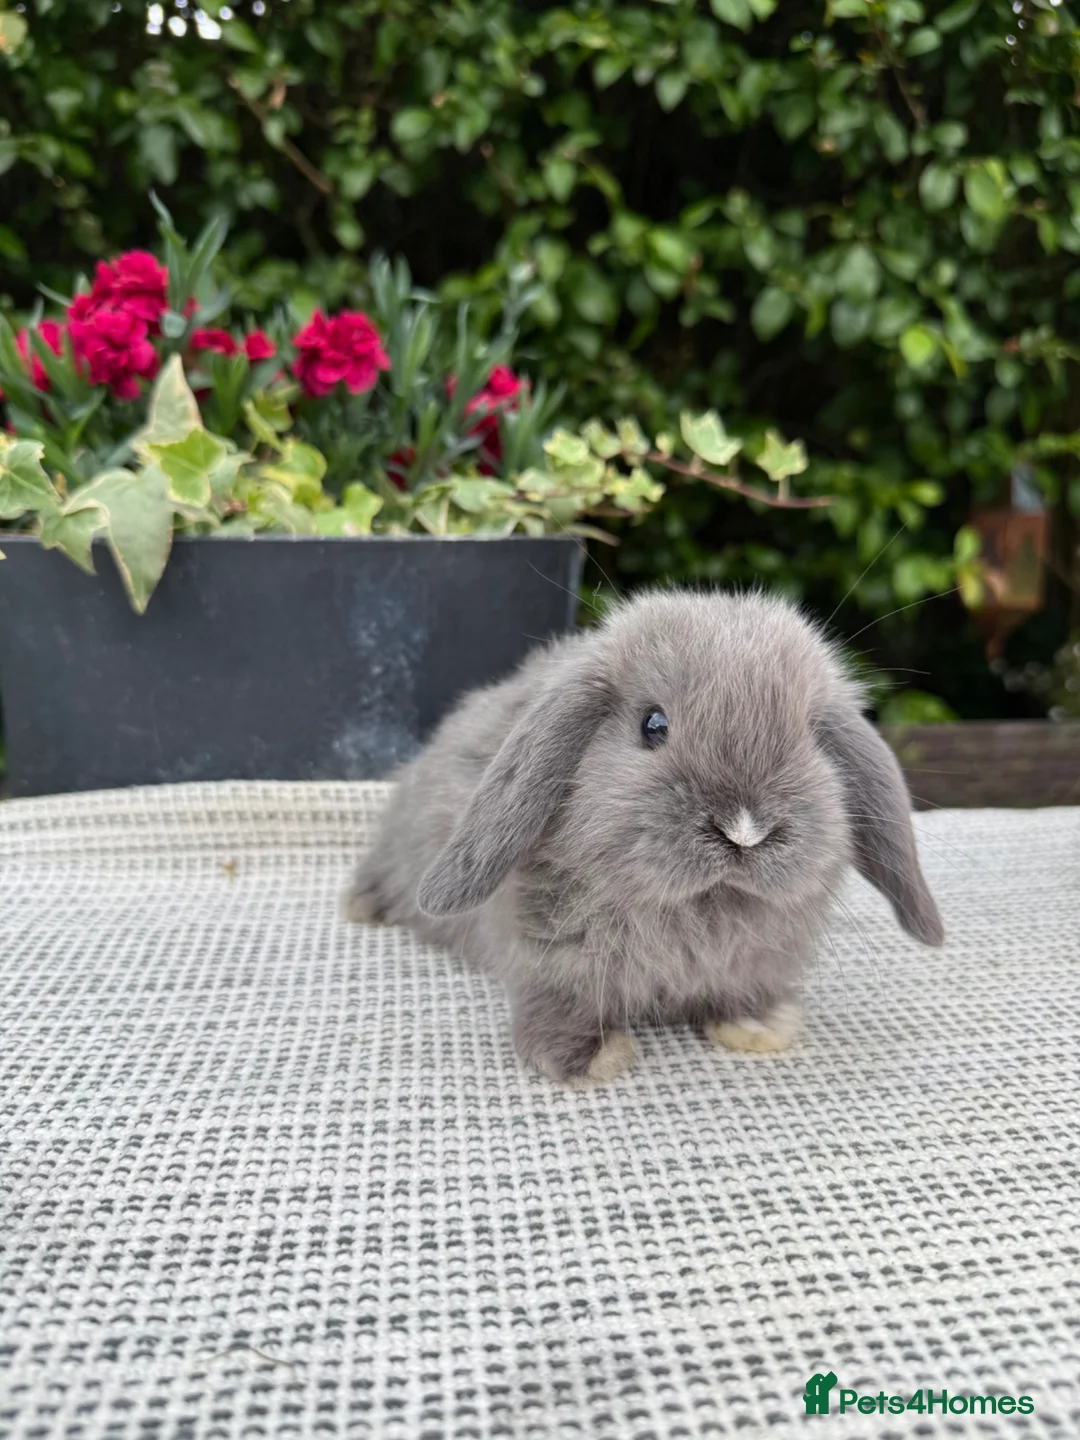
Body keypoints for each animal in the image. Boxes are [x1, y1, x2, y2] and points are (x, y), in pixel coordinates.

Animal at [342, 588, 944, 1087]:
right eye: (653, 725)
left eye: (813, 740)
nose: (744, 830)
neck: (697, 910)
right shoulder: (548, 954)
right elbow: (557, 1000)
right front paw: (588, 1059)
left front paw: (758, 1026)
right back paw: (360, 907)